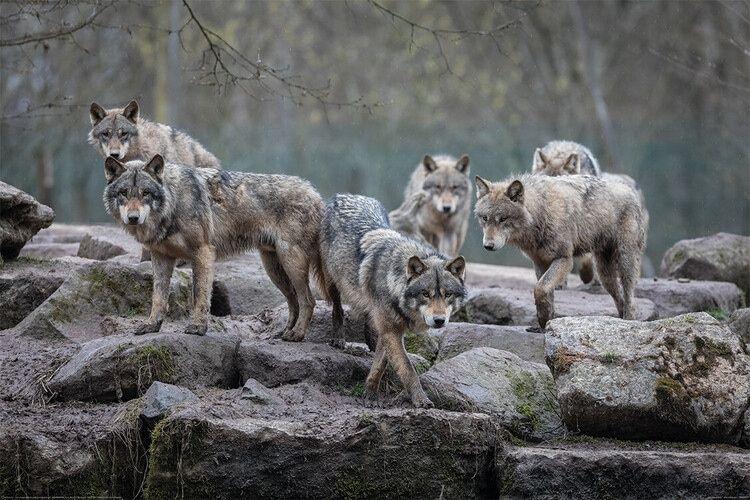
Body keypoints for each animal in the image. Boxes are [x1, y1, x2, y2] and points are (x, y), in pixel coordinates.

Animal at [103, 154, 324, 338]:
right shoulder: (161, 257)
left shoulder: (203, 253)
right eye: (124, 193)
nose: (133, 218)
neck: (174, 203)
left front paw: (198, 327)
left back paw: (297, 334)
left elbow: (200, 294)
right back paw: (285, 332)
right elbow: (158, 297)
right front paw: (151, 325)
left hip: (291, 263)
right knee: (294, 301)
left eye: (146, 193)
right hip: (274, 269)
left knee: (308, 300)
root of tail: (315, 193)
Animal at [321, 194, 467, 407]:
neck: (394, 281)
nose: (439, 321)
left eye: (447, 294)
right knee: (337, 308)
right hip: (332, 280)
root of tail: (344, 195)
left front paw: (370, 394)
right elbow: (408, 369)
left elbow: (380, 364)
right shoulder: (391, 330)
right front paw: (421, 400)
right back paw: (339, 338)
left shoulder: (390, 330)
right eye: (426, 294)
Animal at [475, 173, 647, 329]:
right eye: (485, 218)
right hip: (605, 274)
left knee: (630, 297)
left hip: (624, 262)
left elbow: (540, 288)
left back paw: (629, 321)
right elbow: (546, 292)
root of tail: (630, 190)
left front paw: (544, 320)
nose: (488, 246)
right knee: (620, 298)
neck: (541, 213)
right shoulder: (540, 263)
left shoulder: (564, 259)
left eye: (503, 219)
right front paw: (545, 322)